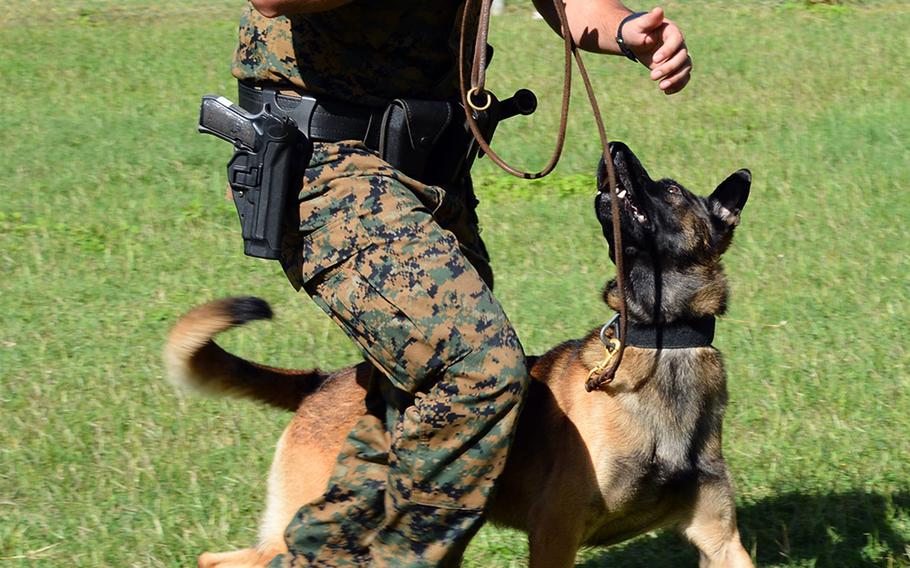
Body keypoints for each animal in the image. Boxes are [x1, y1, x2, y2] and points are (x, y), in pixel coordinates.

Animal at [167, 141, 760, 564]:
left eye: (673, 190)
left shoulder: (720, 540)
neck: (661, 341)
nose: (611, 147)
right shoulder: (555, 532)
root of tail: (322, 381)